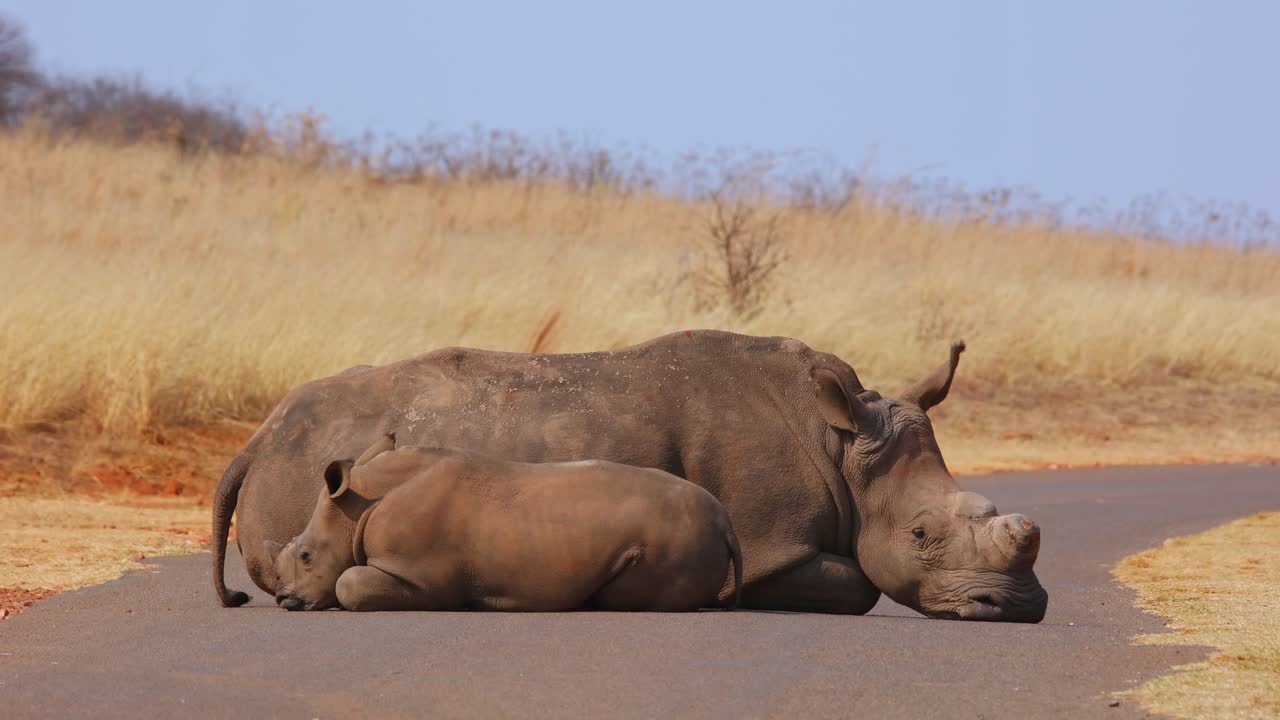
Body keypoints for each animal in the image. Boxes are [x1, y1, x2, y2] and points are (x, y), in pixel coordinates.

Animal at [269, 438, 742, 612]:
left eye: (307, 555)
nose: (286, 600)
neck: (361, 502)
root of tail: (726, 523)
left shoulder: (423, 577)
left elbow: (349, 582)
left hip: (678, 535)